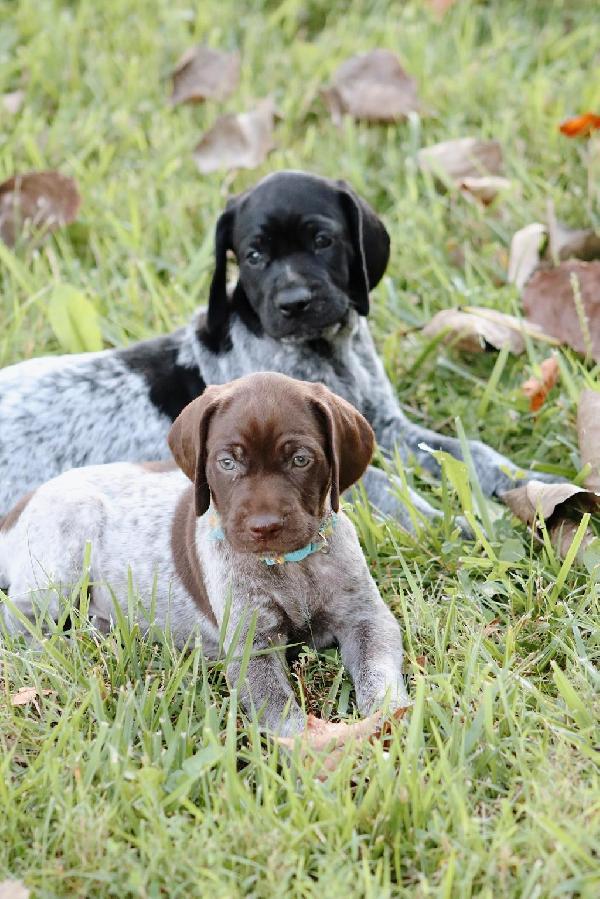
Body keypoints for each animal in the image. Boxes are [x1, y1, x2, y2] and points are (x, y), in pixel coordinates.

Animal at [0, 169, 552, 528]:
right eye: (254, 255)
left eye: (323, 240)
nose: (294, 303)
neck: (327, 353)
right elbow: (381, 485)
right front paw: (440, 521)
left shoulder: (385, 426)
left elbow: (470, 451)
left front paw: (528, 481)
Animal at [0, 376, 408, 736]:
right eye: (227, 463)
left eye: (300, 460)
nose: (264, 526)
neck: (290, 563)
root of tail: (18, 508)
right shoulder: (252, 646)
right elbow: (282, 713)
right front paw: (312, 748)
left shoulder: (366, 619)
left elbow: (379, 673)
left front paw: (389, 720)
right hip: (65, 546)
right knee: (21, 621)